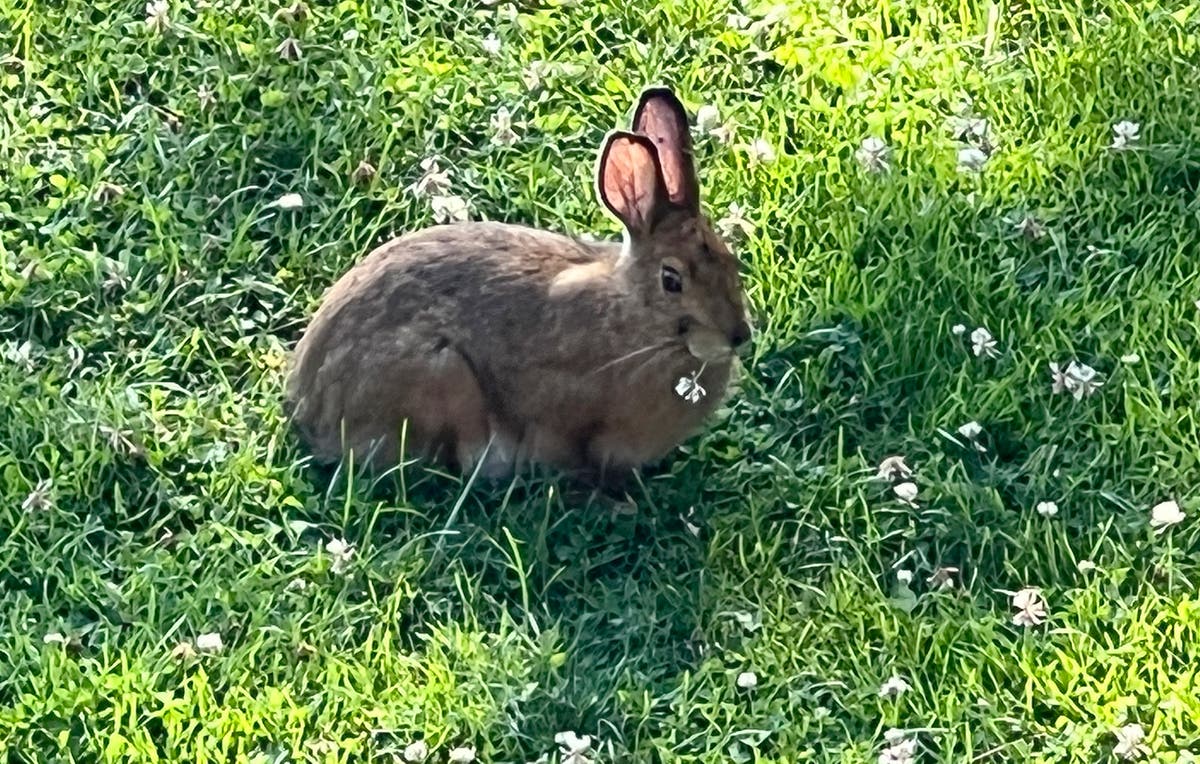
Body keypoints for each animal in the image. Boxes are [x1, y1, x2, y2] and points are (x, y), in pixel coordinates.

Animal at [284, 86, 752, 482]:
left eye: (732, 261)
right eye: (672, 280)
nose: (739, 337)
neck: (636, 323)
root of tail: (310, 407)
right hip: (443, 376)